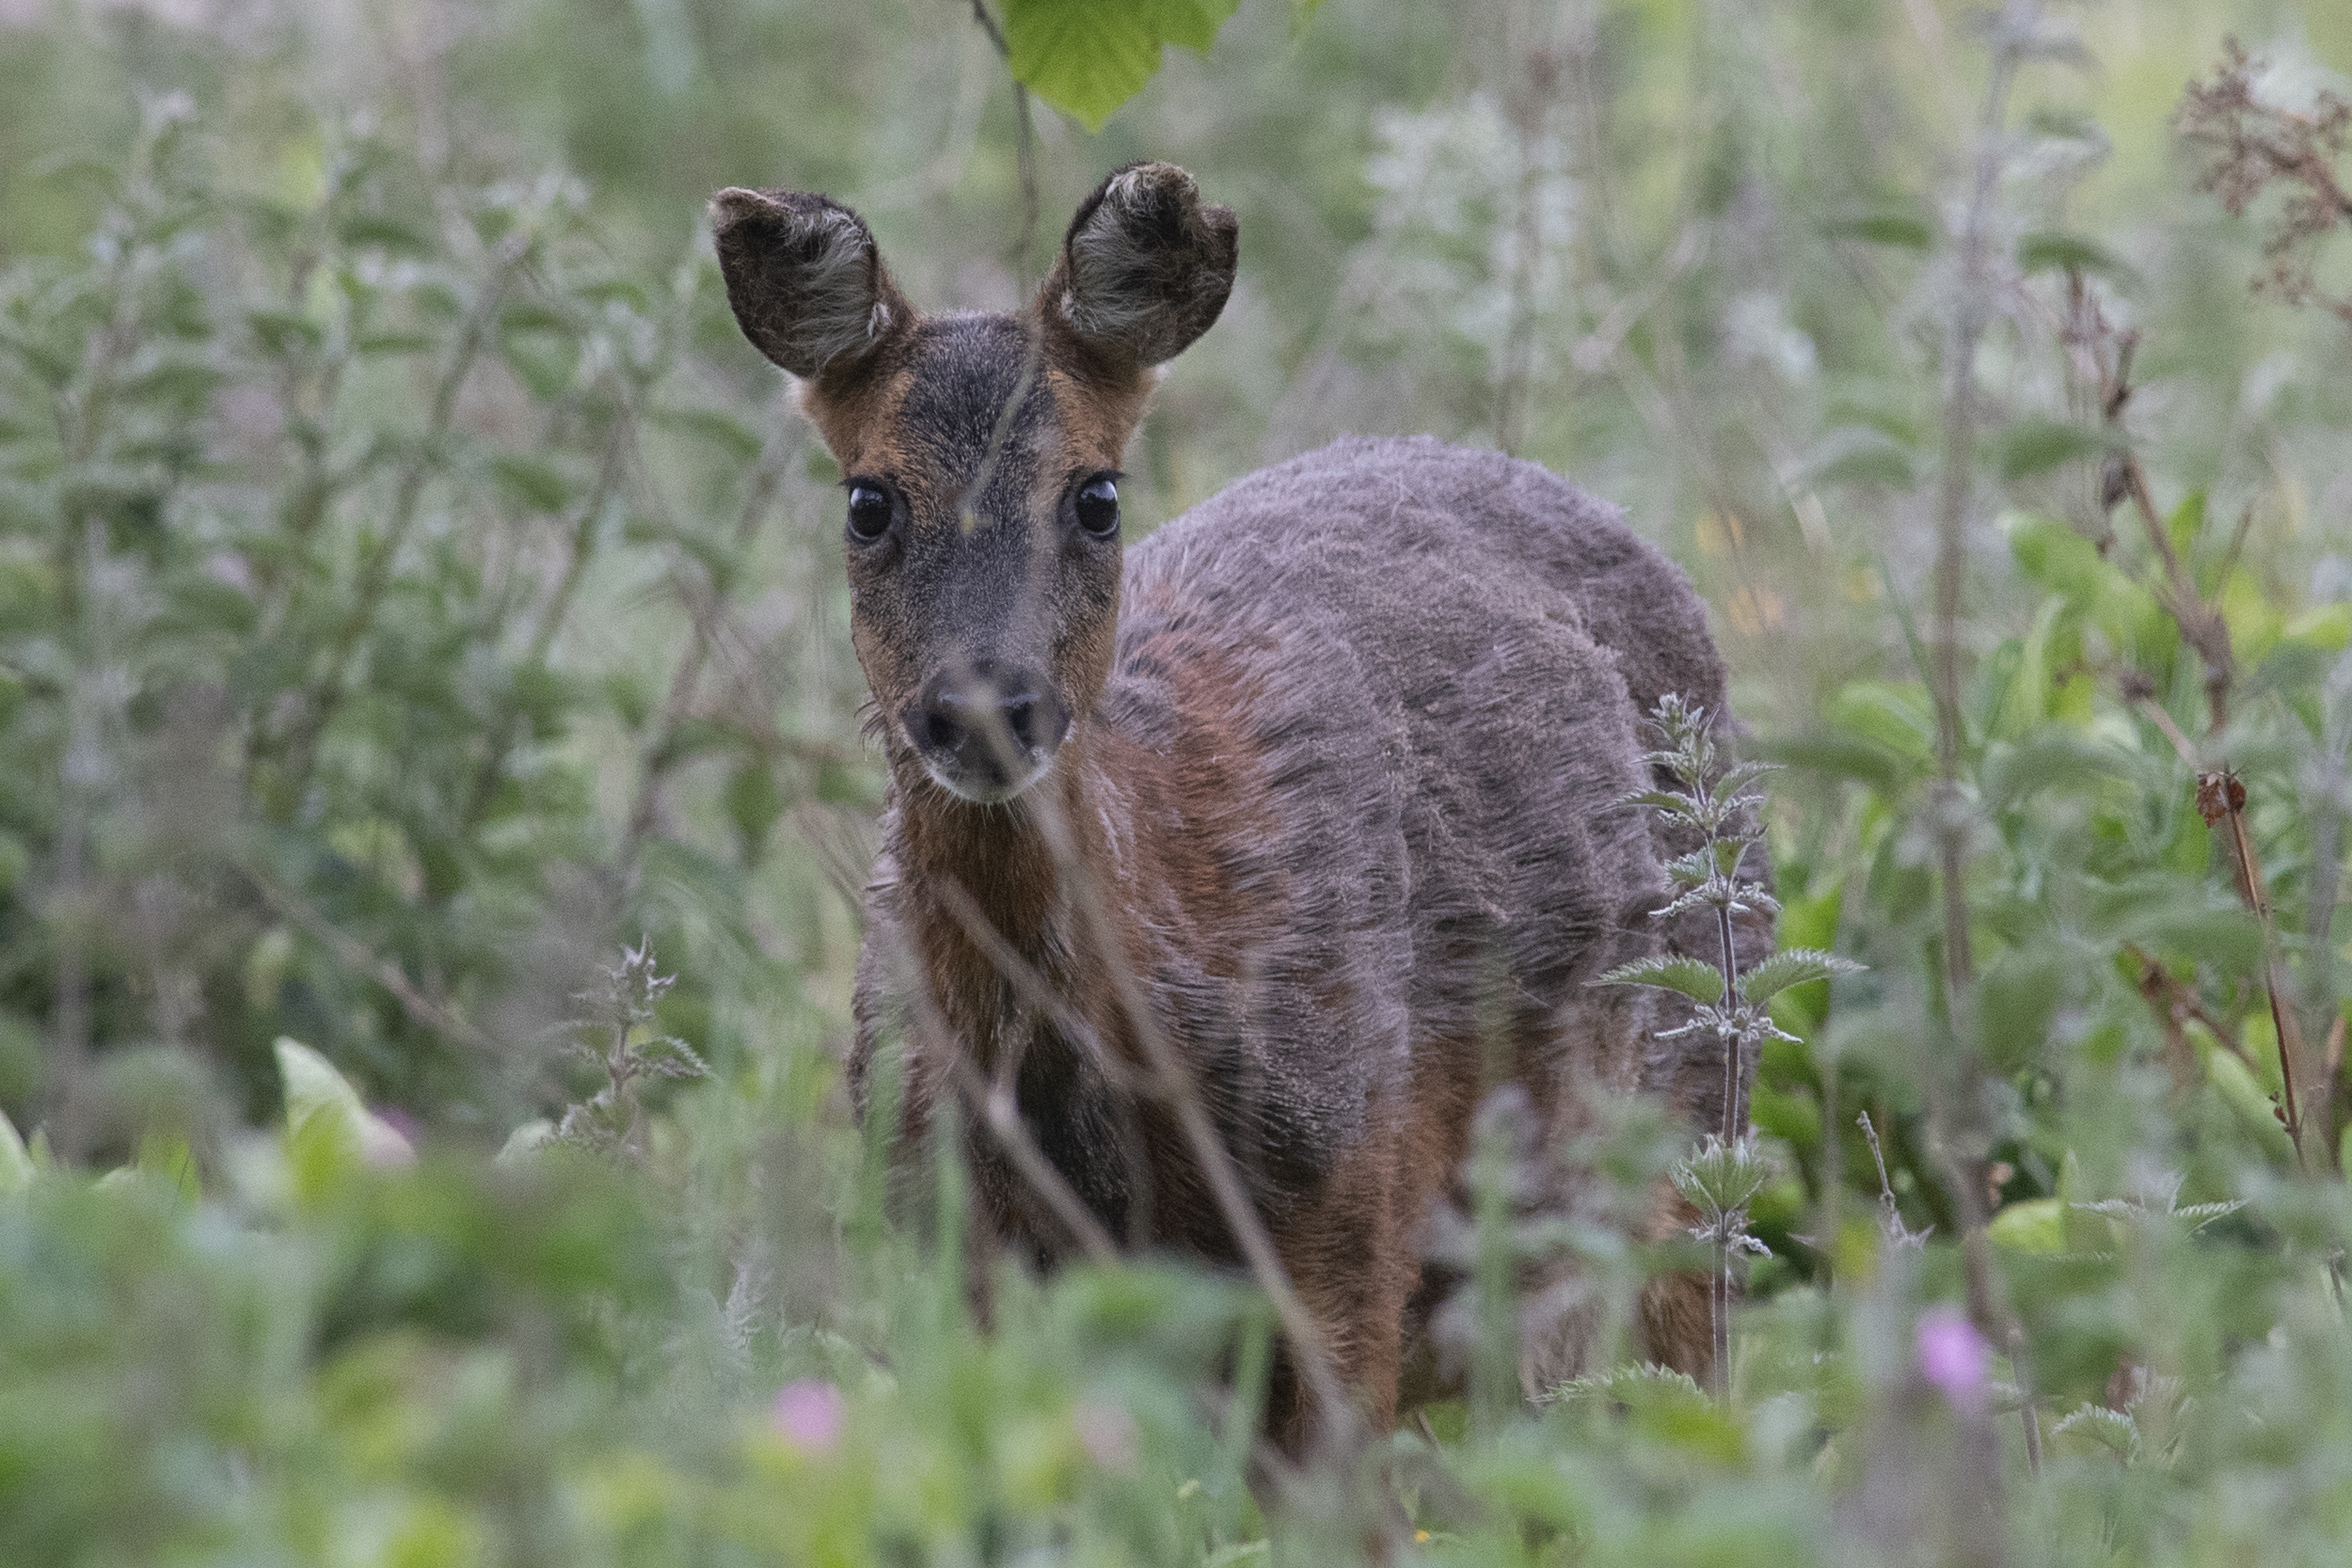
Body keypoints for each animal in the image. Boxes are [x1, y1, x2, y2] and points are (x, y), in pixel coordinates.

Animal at [711, 162, 1766, 1450]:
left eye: (1096, 495)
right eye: (867, 501)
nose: (984, 707)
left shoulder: (1343, 1212)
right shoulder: (939, 1238)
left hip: (1690, 1136)